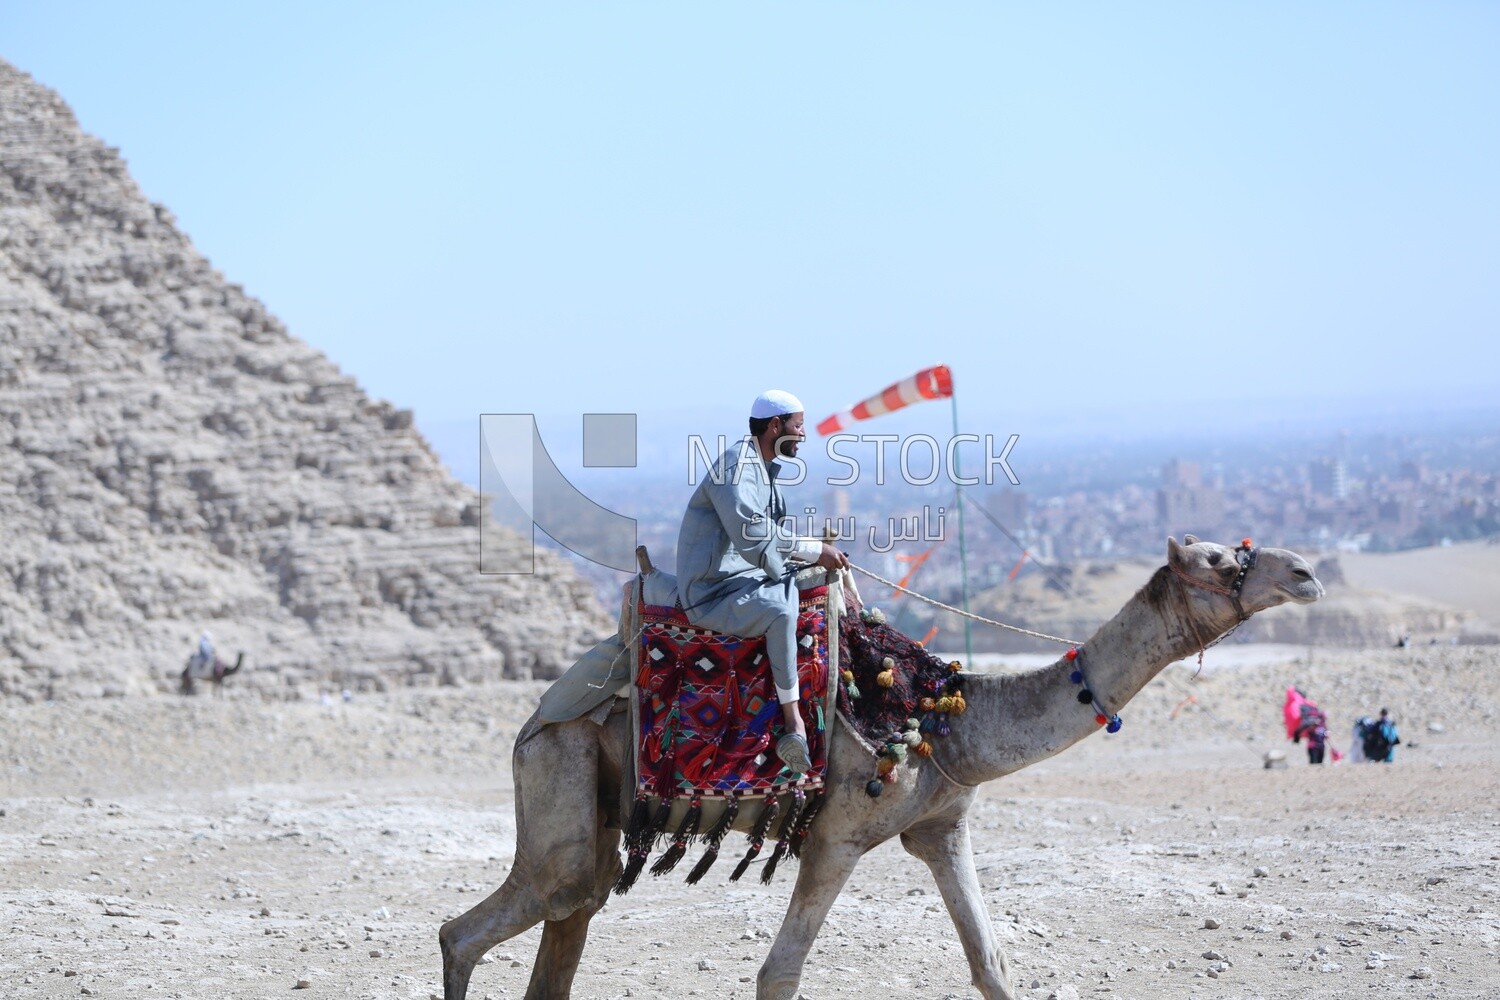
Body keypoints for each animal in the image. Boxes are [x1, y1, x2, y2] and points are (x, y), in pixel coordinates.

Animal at [438, 539, 1326, 1000]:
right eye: (1218, 559)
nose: (1306, 572)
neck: (950, 721)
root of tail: (534, 720)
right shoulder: (836, 834)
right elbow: (779, 972)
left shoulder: (942, 827)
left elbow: (991, 963)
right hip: (560, 768)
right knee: (479, 925)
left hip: (586, 795)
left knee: (571, 911)